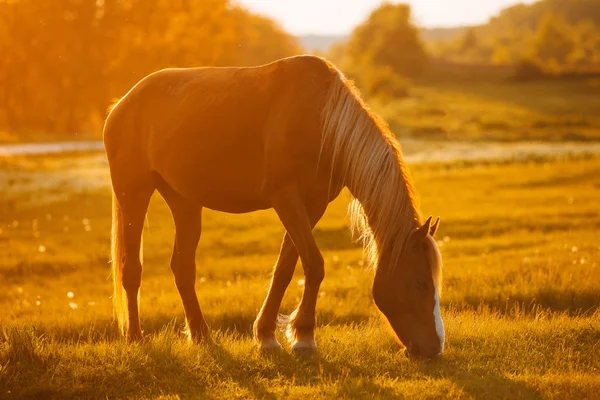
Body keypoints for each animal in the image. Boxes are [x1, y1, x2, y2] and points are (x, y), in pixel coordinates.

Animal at [102, 54, 446, 360]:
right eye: (420, 281)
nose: (435, 347)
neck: (320, 120)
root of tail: (122, 103)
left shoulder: (312, 205)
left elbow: (286, 267)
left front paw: (268, 335)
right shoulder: (286, 199)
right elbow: (313, 264)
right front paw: (304, 338)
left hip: (184, 202)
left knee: (183, 267)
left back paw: (201, 336)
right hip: (133, 193)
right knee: (131, 268)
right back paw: (136, 337)